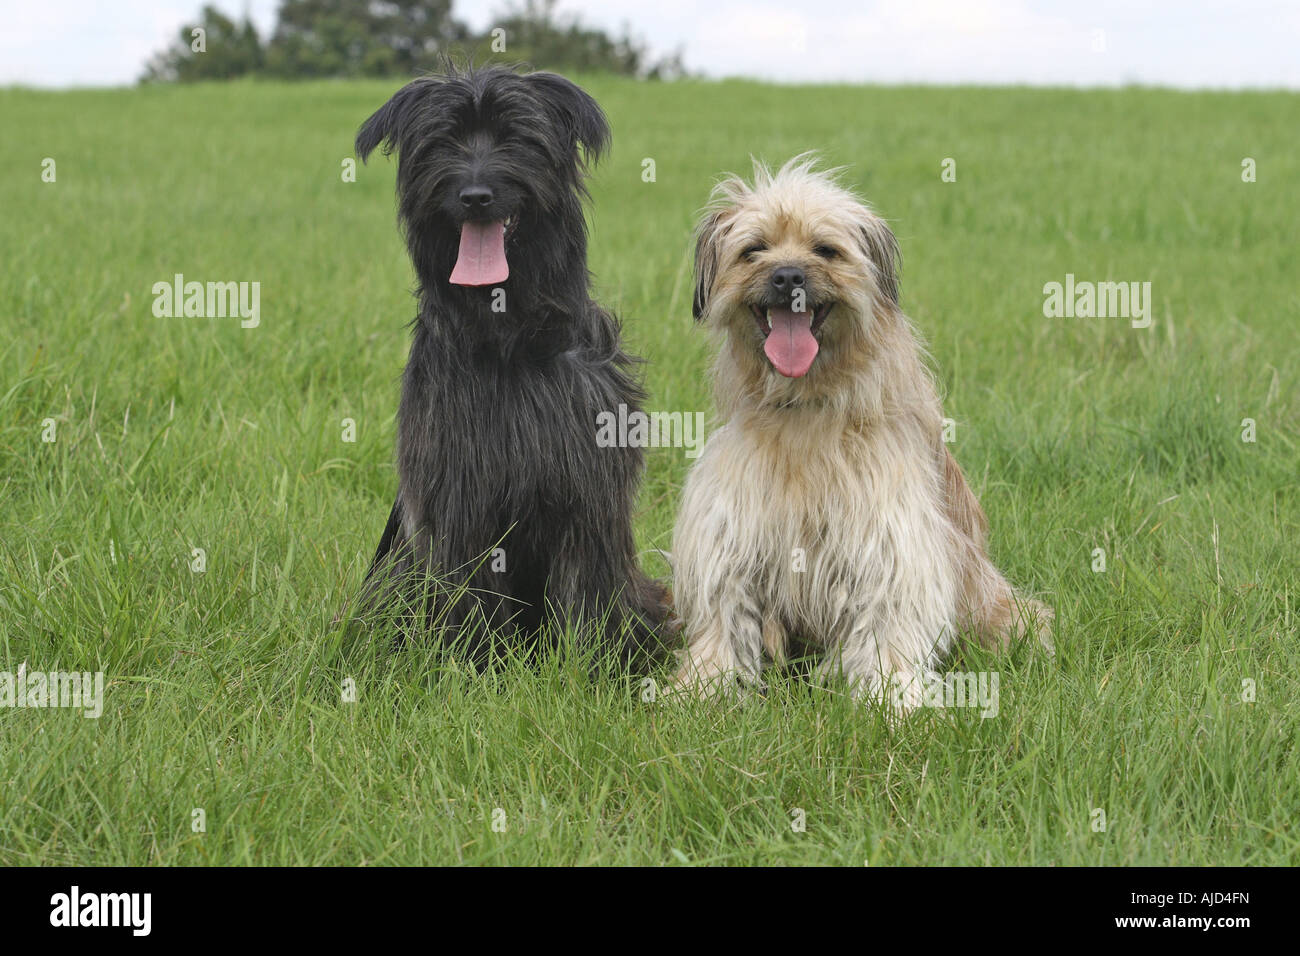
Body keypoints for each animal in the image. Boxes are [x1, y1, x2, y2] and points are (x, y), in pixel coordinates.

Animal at [353, 65, 665, 665]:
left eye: (516, 138)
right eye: (443, 141)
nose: (475, 196)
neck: (509, 342)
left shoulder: (588, 495)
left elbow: (587, 586)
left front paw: (586, 666)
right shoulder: (457, 501)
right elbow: (468, 588)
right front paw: (474, 665)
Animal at [676, 157, 1050, 712]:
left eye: (825, 250)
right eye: (754, 249)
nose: (787, 276)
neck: (806, 408)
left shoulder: (889, 540)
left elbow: (886, 628)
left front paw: (894, 702)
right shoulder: (733, 534)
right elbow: (722, 622)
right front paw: (700, 690)